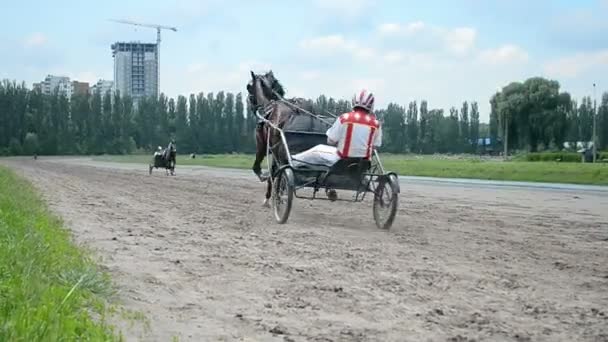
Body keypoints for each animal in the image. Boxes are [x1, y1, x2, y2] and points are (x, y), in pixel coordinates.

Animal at [247, 70, 332, 206]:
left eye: (248, 87)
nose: (250, 104)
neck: (268, 107)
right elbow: (274, 172)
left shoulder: (263, 146)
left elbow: (260, 169)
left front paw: (267, 195)